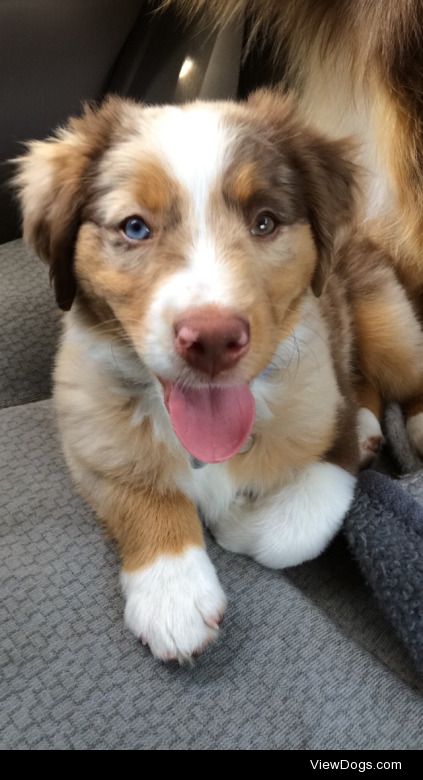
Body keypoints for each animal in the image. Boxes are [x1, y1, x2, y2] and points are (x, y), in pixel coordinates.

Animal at [14, 94, 423, 660]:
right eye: (134, 227)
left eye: (265, 222)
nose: (211, 340)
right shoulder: (91, 436)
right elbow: (141, 492)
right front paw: (173, 592)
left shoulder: (323, 417)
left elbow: (292, 529)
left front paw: (231, 522)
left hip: (385, 323)